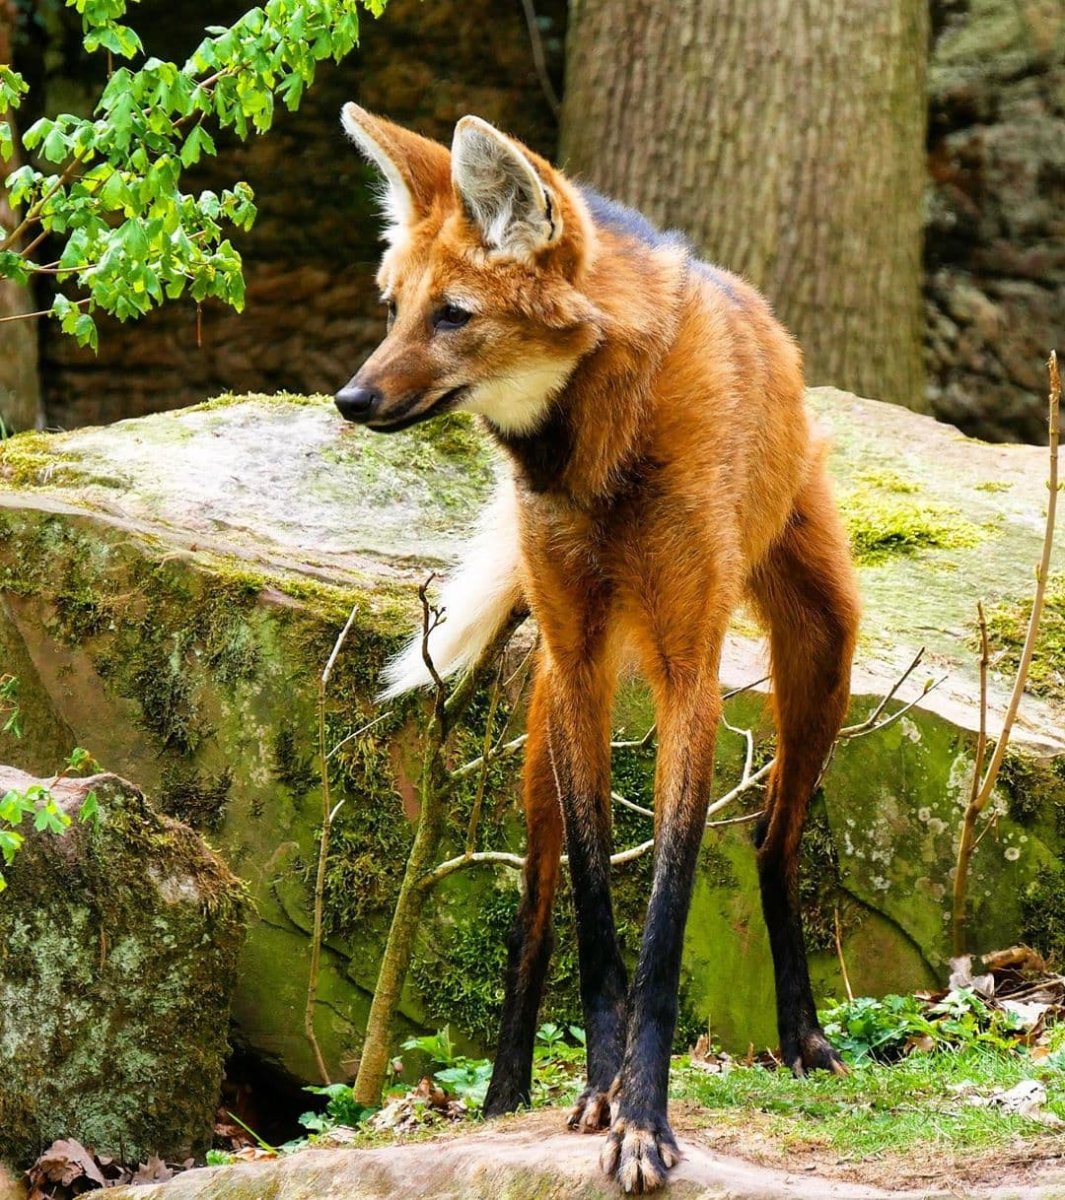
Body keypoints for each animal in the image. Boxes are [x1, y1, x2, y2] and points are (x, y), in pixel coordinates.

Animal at [334, 106, 860, 1194]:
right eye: (394, 308)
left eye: (453, 316)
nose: (349, 401)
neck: (599, 448)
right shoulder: (579, 663)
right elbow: (589, 897)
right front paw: (602, 1094)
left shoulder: (686, 667)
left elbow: (664, 913)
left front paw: (645, 1120)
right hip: (543, 715)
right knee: (532, 909)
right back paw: (506, 1097)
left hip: (824, 647)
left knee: (772, 839)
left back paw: (803, 1037)